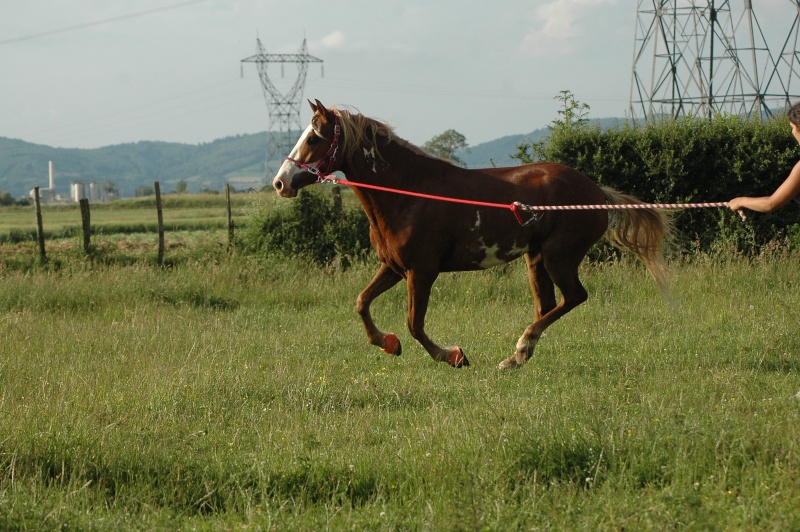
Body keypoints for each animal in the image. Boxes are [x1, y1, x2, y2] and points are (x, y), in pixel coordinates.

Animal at [276, 100, 668, 368]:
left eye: (314, 138)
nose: (281, 182)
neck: (408, 193)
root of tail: (596, 192)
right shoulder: (393, 267)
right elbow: (362, 302)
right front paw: (388, 343)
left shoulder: (422, 272)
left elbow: (415, 324)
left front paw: (453, 356)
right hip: (536, 257)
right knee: (547, 304)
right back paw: (516, 358)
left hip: (560, 256)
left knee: (573, 297)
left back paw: (520, 348)